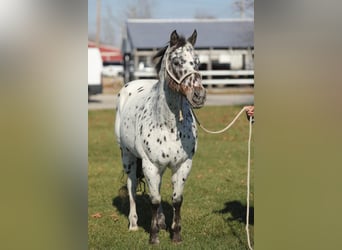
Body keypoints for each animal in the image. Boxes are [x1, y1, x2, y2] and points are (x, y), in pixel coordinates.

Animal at [115, 29, 206, 244]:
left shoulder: (183, 164)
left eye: (197, 62)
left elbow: (177, 200)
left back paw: (162, 221)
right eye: (177, 61)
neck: (169, 125)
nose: (199, 96)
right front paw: (154, 236)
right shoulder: (149, 165)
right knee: (132, 187)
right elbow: (154, 200)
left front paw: (176, 234)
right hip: (128, 157)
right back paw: (133, 224)